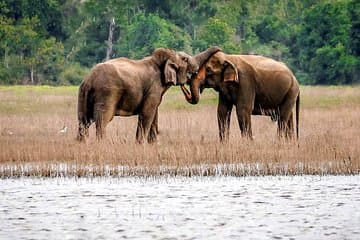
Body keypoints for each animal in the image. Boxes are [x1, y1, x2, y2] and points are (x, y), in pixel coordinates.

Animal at [76, 47, 219, 143]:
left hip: (83, 94)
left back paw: (81, 143)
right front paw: (140, 144)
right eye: (185, 59)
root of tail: (89, 79)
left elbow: (154, 114)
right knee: (102, 120)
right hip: (107, 93)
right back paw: (102, 144)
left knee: (83, 121)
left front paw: (153, 144)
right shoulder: (153, 88)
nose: (185, 85)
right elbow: (147, 114)